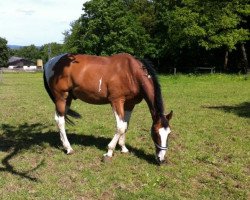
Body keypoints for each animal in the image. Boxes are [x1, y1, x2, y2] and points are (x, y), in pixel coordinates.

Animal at [42, 53, 172, 164]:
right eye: (155, 133)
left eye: (169, 134)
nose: (161, 159)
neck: (131, 72)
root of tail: (50, 62)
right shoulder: (116, 101)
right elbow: (120, 127)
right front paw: (109, 152)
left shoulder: (130, 104)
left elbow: (125, 126)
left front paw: (123, 148)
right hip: (61, 97)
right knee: (60, 121)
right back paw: (69, 148)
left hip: (68, 98)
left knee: (60, 119)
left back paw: (64, 144)